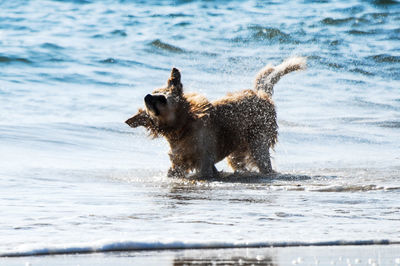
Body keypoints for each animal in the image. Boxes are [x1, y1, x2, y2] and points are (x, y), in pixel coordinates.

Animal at [126, 57, 306, 179]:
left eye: (161, 99)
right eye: (154, 91)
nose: (146, 96)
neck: (183, 127)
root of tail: (262, 95)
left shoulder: (204, 162)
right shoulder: (178, 163)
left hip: (258, 145)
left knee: (264, 165)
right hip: (237, 153)